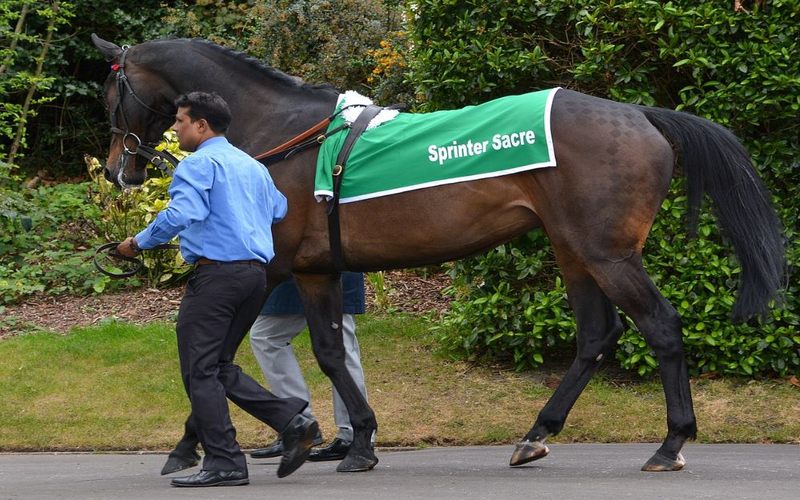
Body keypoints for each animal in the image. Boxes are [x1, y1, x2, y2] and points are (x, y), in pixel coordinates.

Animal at [90, 34, 784, 472]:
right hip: (573, 250)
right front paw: (359, 442)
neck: (282, 132)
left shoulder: (267, 265)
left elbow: (217, 353)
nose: (121, 170)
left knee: (661, 326)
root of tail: (640, 115)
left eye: (110, 94)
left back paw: (671, 444)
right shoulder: (315, 270)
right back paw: (535, 436)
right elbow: (328, 354)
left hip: (609, 254)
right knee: (595, 335)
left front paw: (188, 449)